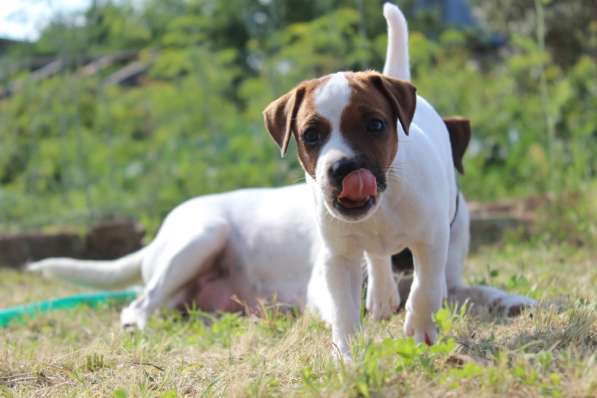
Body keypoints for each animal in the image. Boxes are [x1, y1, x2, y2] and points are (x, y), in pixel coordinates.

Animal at [28, 2, 532, 358]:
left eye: (375, 125)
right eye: (311, 135)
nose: (343, 170)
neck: (384, 210)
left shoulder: (432, 246)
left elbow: (437, 289)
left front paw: (450, 316)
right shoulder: (330, 267)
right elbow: (345, 314)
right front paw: (349, 357)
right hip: (201, 237)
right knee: (138, 303)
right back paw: (145, 326)